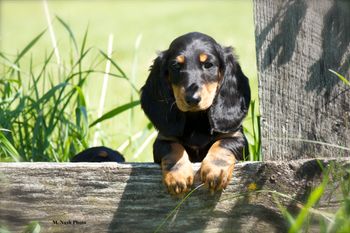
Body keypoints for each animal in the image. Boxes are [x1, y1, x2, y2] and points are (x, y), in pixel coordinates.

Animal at [141, 31, 250, 196]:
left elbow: (223, 143)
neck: (196, 120)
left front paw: (215, 171)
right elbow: (173, 147)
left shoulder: (236, 136)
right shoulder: (163, 140)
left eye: (208, 65)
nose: (192, 99)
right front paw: (177, 175)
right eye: (175, 66)